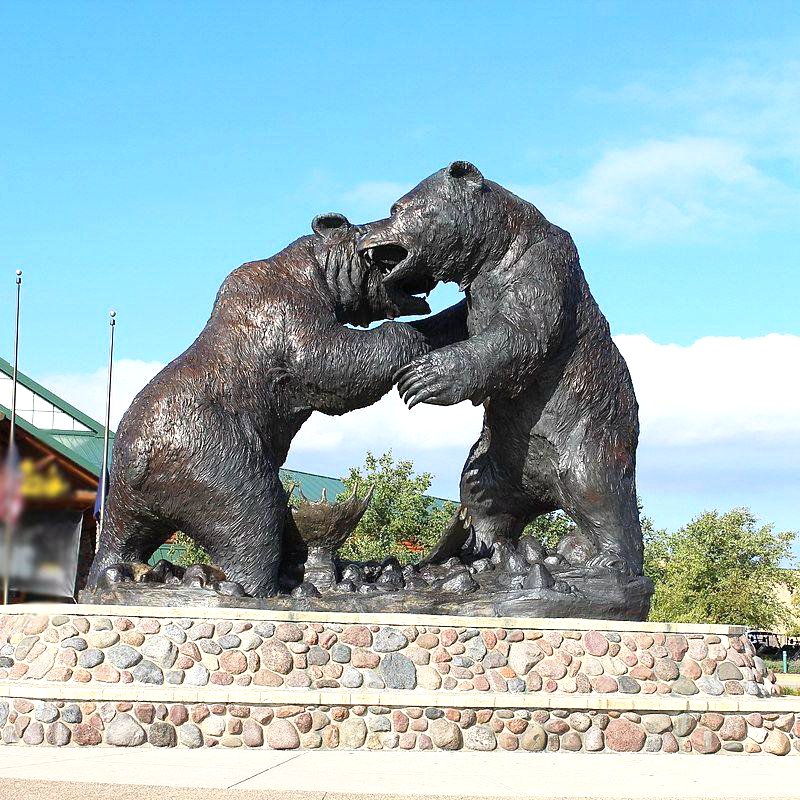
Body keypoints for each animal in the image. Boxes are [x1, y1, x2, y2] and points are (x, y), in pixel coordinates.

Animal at [88, 211, 434, 592]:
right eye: (379, 233)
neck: (315, 274)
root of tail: (134, 460)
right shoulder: (283, 309)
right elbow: (329, 360)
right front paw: (412, 336)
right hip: (206, 451)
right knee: (251, 515)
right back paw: (250, 585)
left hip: (126, 494)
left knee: (122, 538)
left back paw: (119, 573)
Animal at [360, 161, 648, 576]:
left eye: (397, 208)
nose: (363, 231)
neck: (492, 254)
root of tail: (546, 492)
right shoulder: (477, 296)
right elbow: (454, 322)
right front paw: (400, 337)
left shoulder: (542, 268)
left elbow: (520, 333)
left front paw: (424, 377)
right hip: (499, 454)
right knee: (482, 493)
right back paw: (482, 553)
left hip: (589, 435)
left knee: (598, 490)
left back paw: (608, 559)